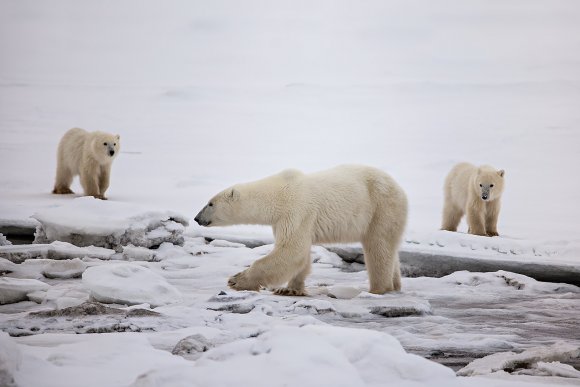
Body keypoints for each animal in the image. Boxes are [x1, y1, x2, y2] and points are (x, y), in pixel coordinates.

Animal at [195, 165, 408, 296]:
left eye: (210, 203)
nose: (197, 218)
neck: (277, 195)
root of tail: (399, 187)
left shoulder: (296, 210)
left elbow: (291, 250)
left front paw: (236, 280)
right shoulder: (283, 219)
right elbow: (299, 255)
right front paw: (289, 289)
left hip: (381, 207)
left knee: (378, 246)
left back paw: (379, 288)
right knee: (389, 249)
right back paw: (395, 285)